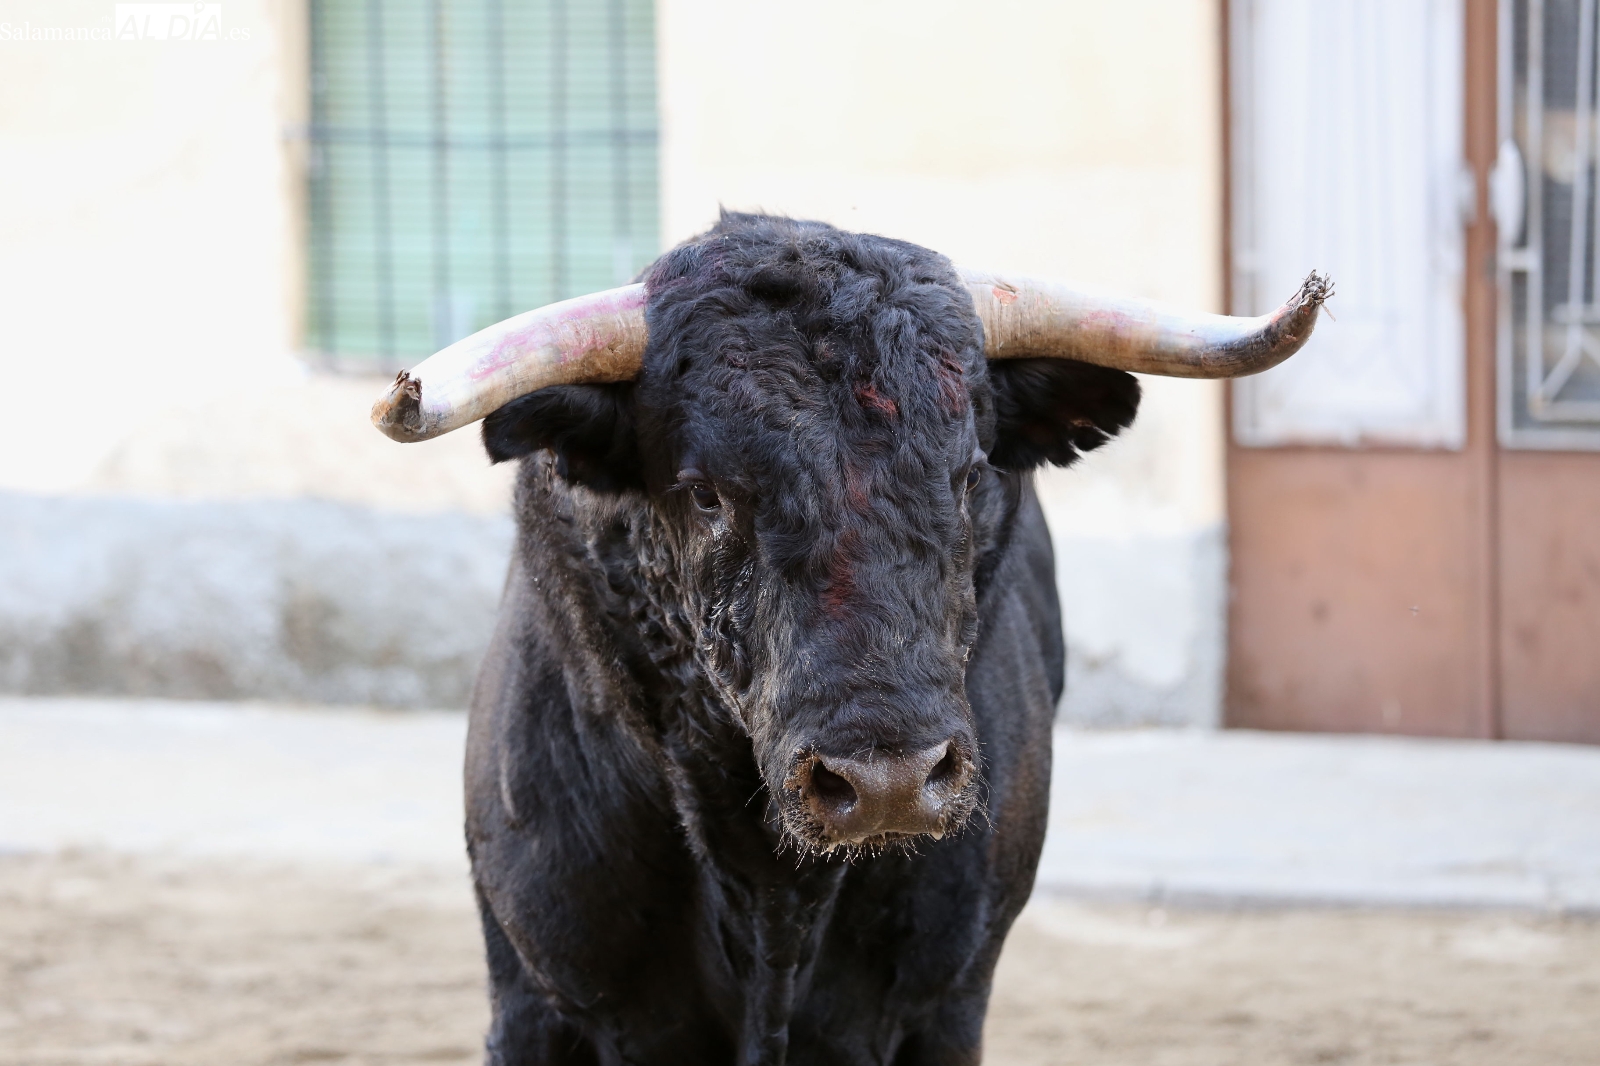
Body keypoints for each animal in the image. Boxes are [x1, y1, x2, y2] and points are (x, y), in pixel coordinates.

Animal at [372, 212, 1326, 1065]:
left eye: (969, 473)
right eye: (706, 493)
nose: (888, 783)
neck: (771, 887)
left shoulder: (947, 1004)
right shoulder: (536, 997)